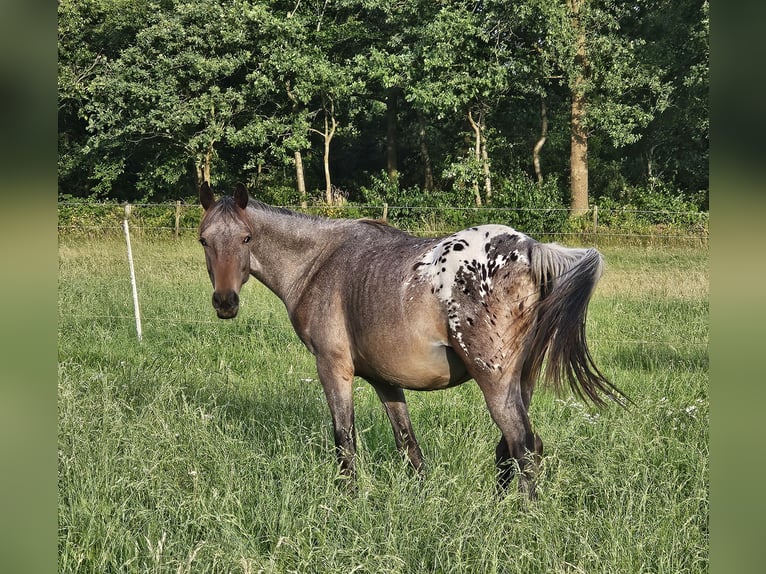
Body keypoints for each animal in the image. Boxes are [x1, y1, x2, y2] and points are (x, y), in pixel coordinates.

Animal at [198, 182, 625, 498]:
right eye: (204, 240)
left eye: (246, 238)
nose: (224, 302)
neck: (320, 262)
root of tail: (531, 248)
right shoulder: (385, 380)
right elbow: (408, 443)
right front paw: (423, 498)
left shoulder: (333, 369)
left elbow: (344, 439)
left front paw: (348, 500)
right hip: (521, 382)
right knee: (511, 447)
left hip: (495, 381)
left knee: (523, 446)